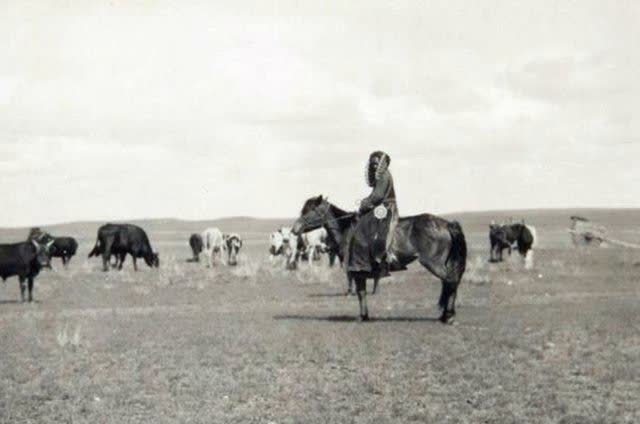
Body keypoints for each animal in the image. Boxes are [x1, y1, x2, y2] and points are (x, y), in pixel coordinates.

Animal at [292, 195, 468, 324]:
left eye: (309, 211)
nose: (294, 229)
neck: (348, 230)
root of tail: (446, 224)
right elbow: (362, 292)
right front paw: (364, 315)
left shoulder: (357, 271)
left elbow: (361, 293)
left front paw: (362, 316)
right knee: (449, 283)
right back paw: (445, 315)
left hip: (433, 264)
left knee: (450, 281)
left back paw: (448, 316)